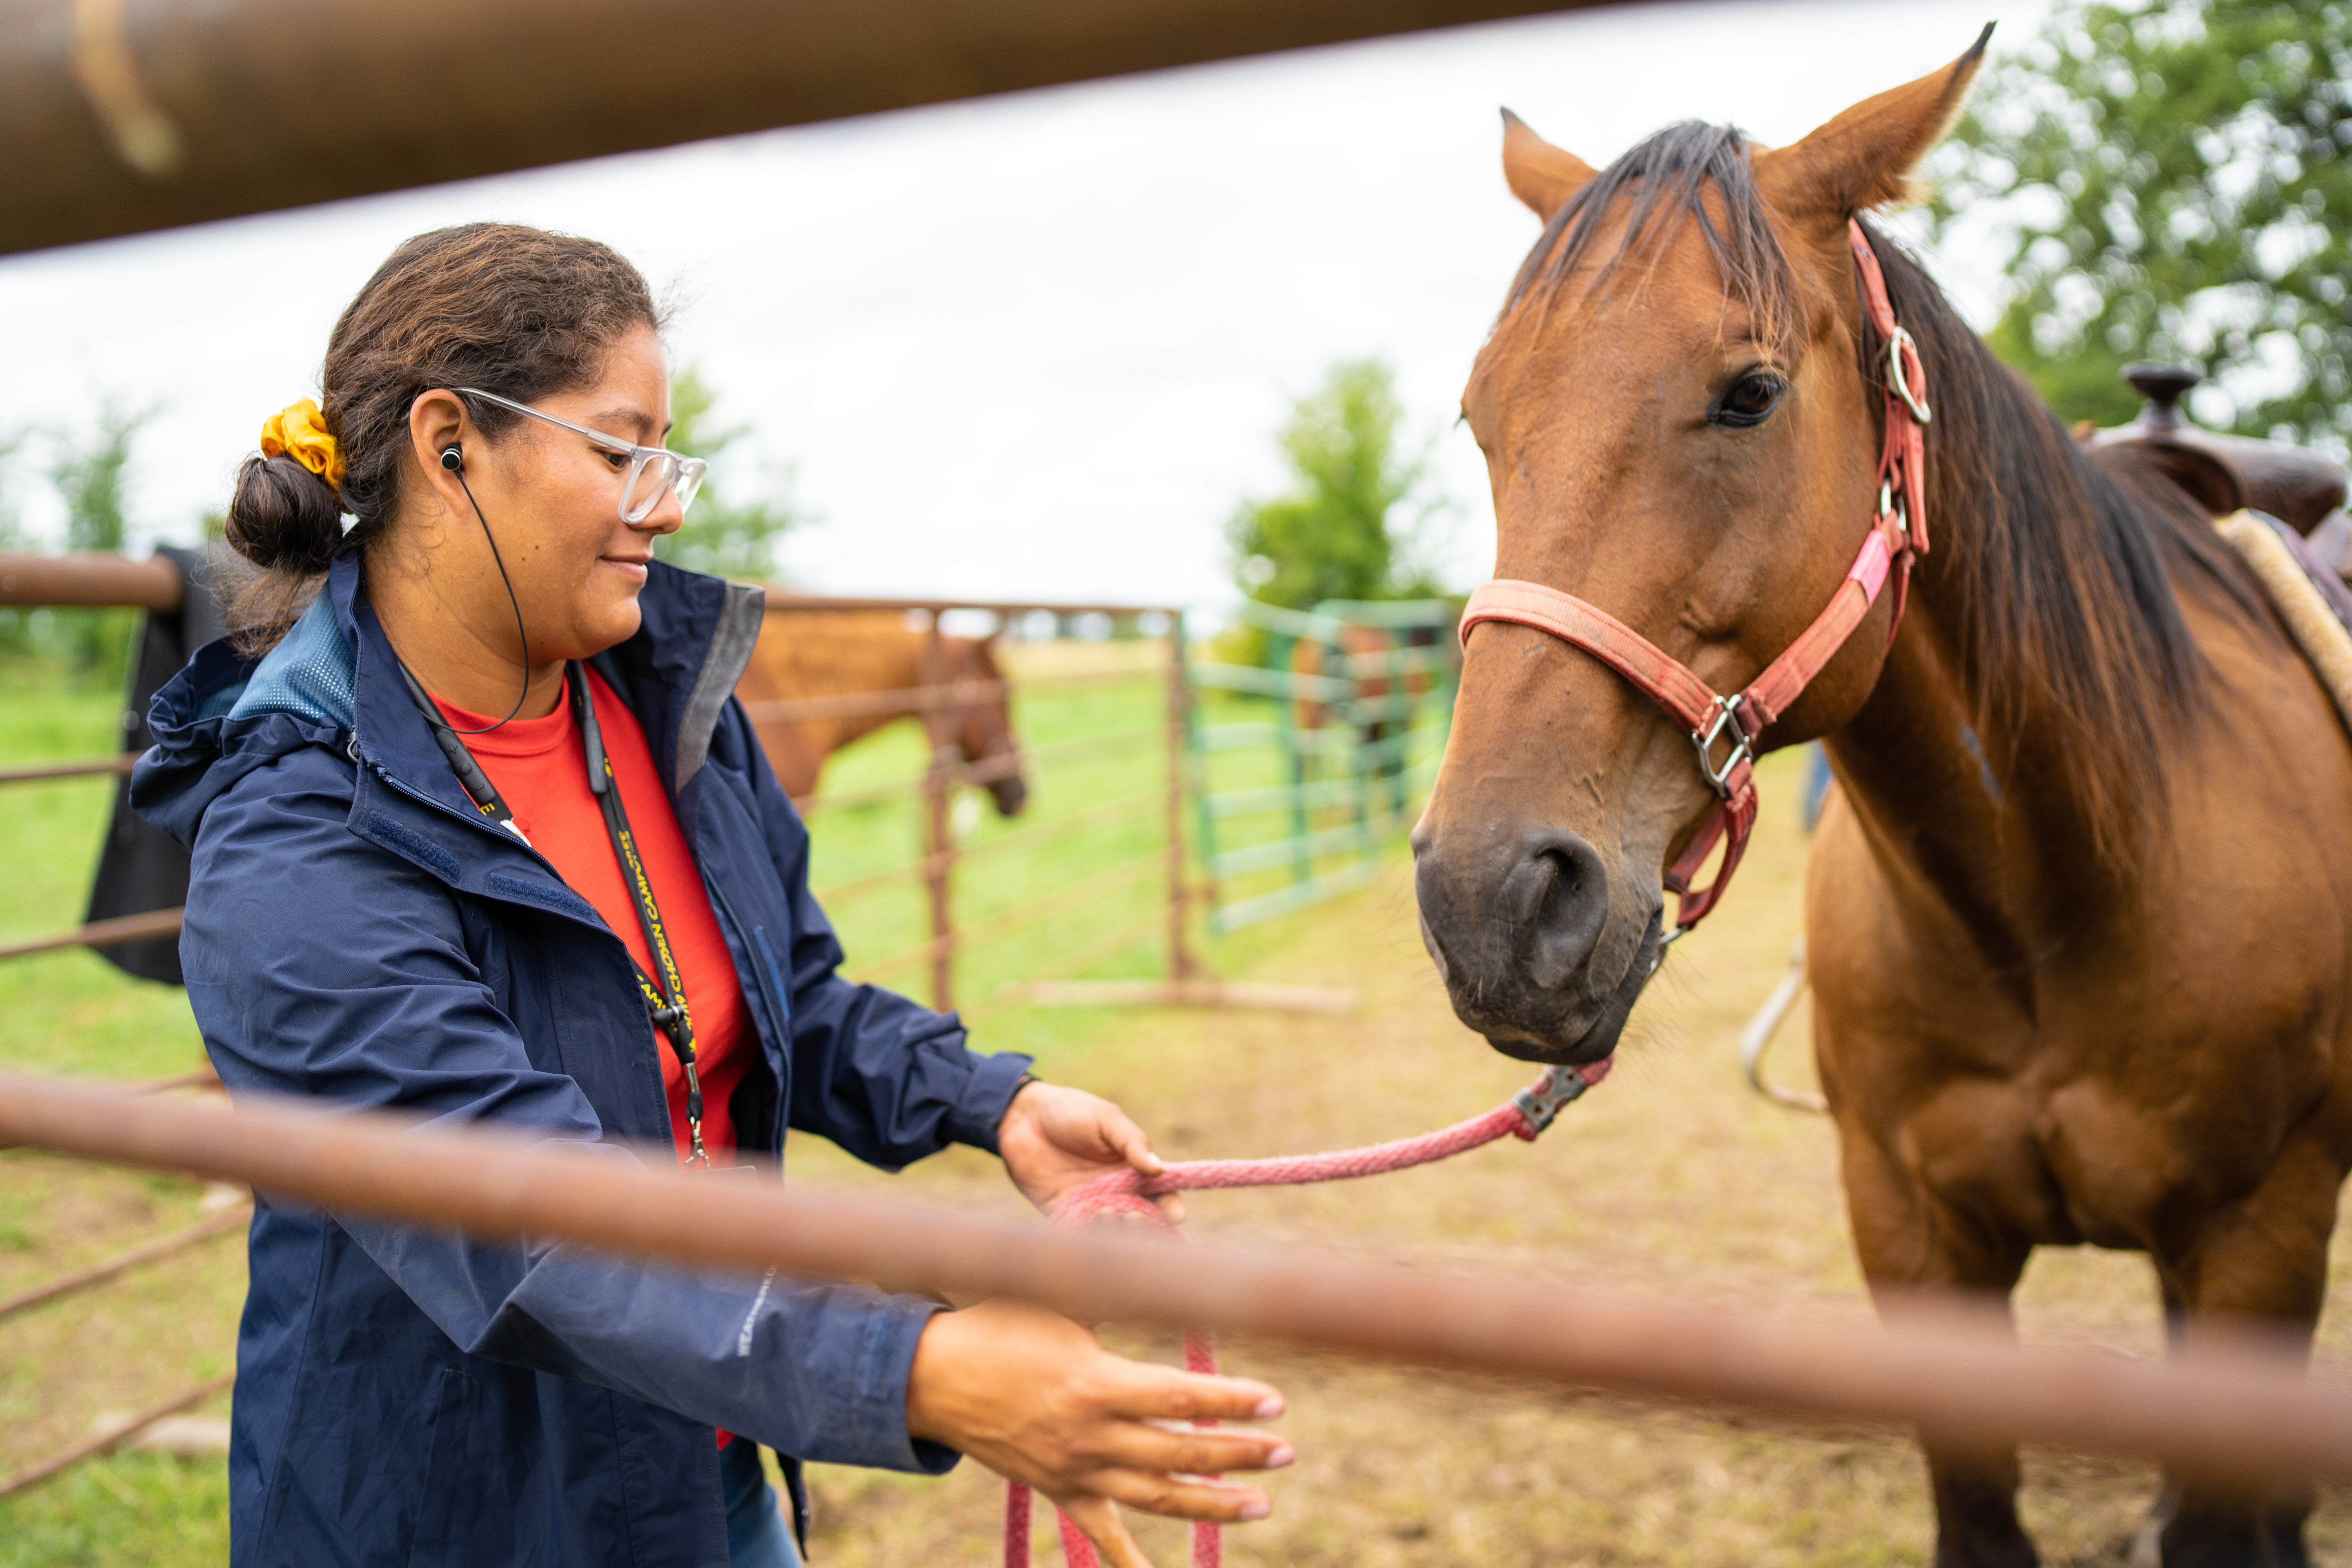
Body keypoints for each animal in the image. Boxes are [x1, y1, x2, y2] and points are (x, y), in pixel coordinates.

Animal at [1411, 36, 2352, 1568]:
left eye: (1749, 393)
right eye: (1484, 418)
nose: (1489, 902)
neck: (2048, 904)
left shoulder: (2260, 1238)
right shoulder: (1910, 1239)